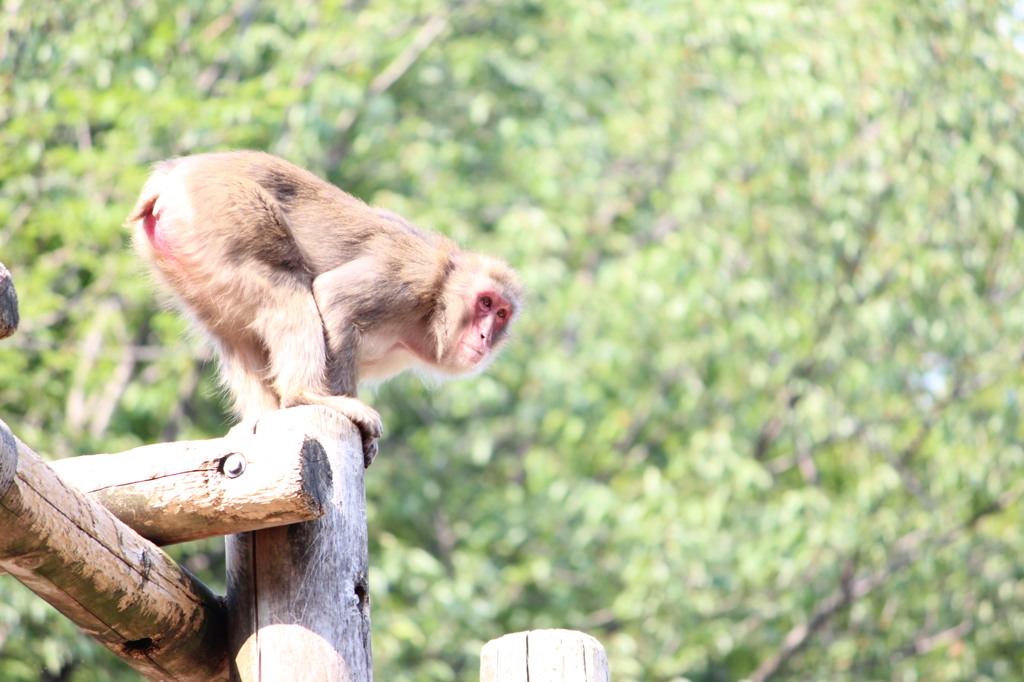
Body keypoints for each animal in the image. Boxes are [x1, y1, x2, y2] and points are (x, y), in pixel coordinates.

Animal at [129, 150, 524, 464]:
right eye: (485, 302)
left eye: (501, 313)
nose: (486, 335)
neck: (435, 303)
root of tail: (175, 173)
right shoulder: (410, 279)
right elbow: (334, 296)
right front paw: (347, 411)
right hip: (226, 209)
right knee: (286, 291)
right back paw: (305, 396)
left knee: (235, 333)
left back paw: (263, 420)